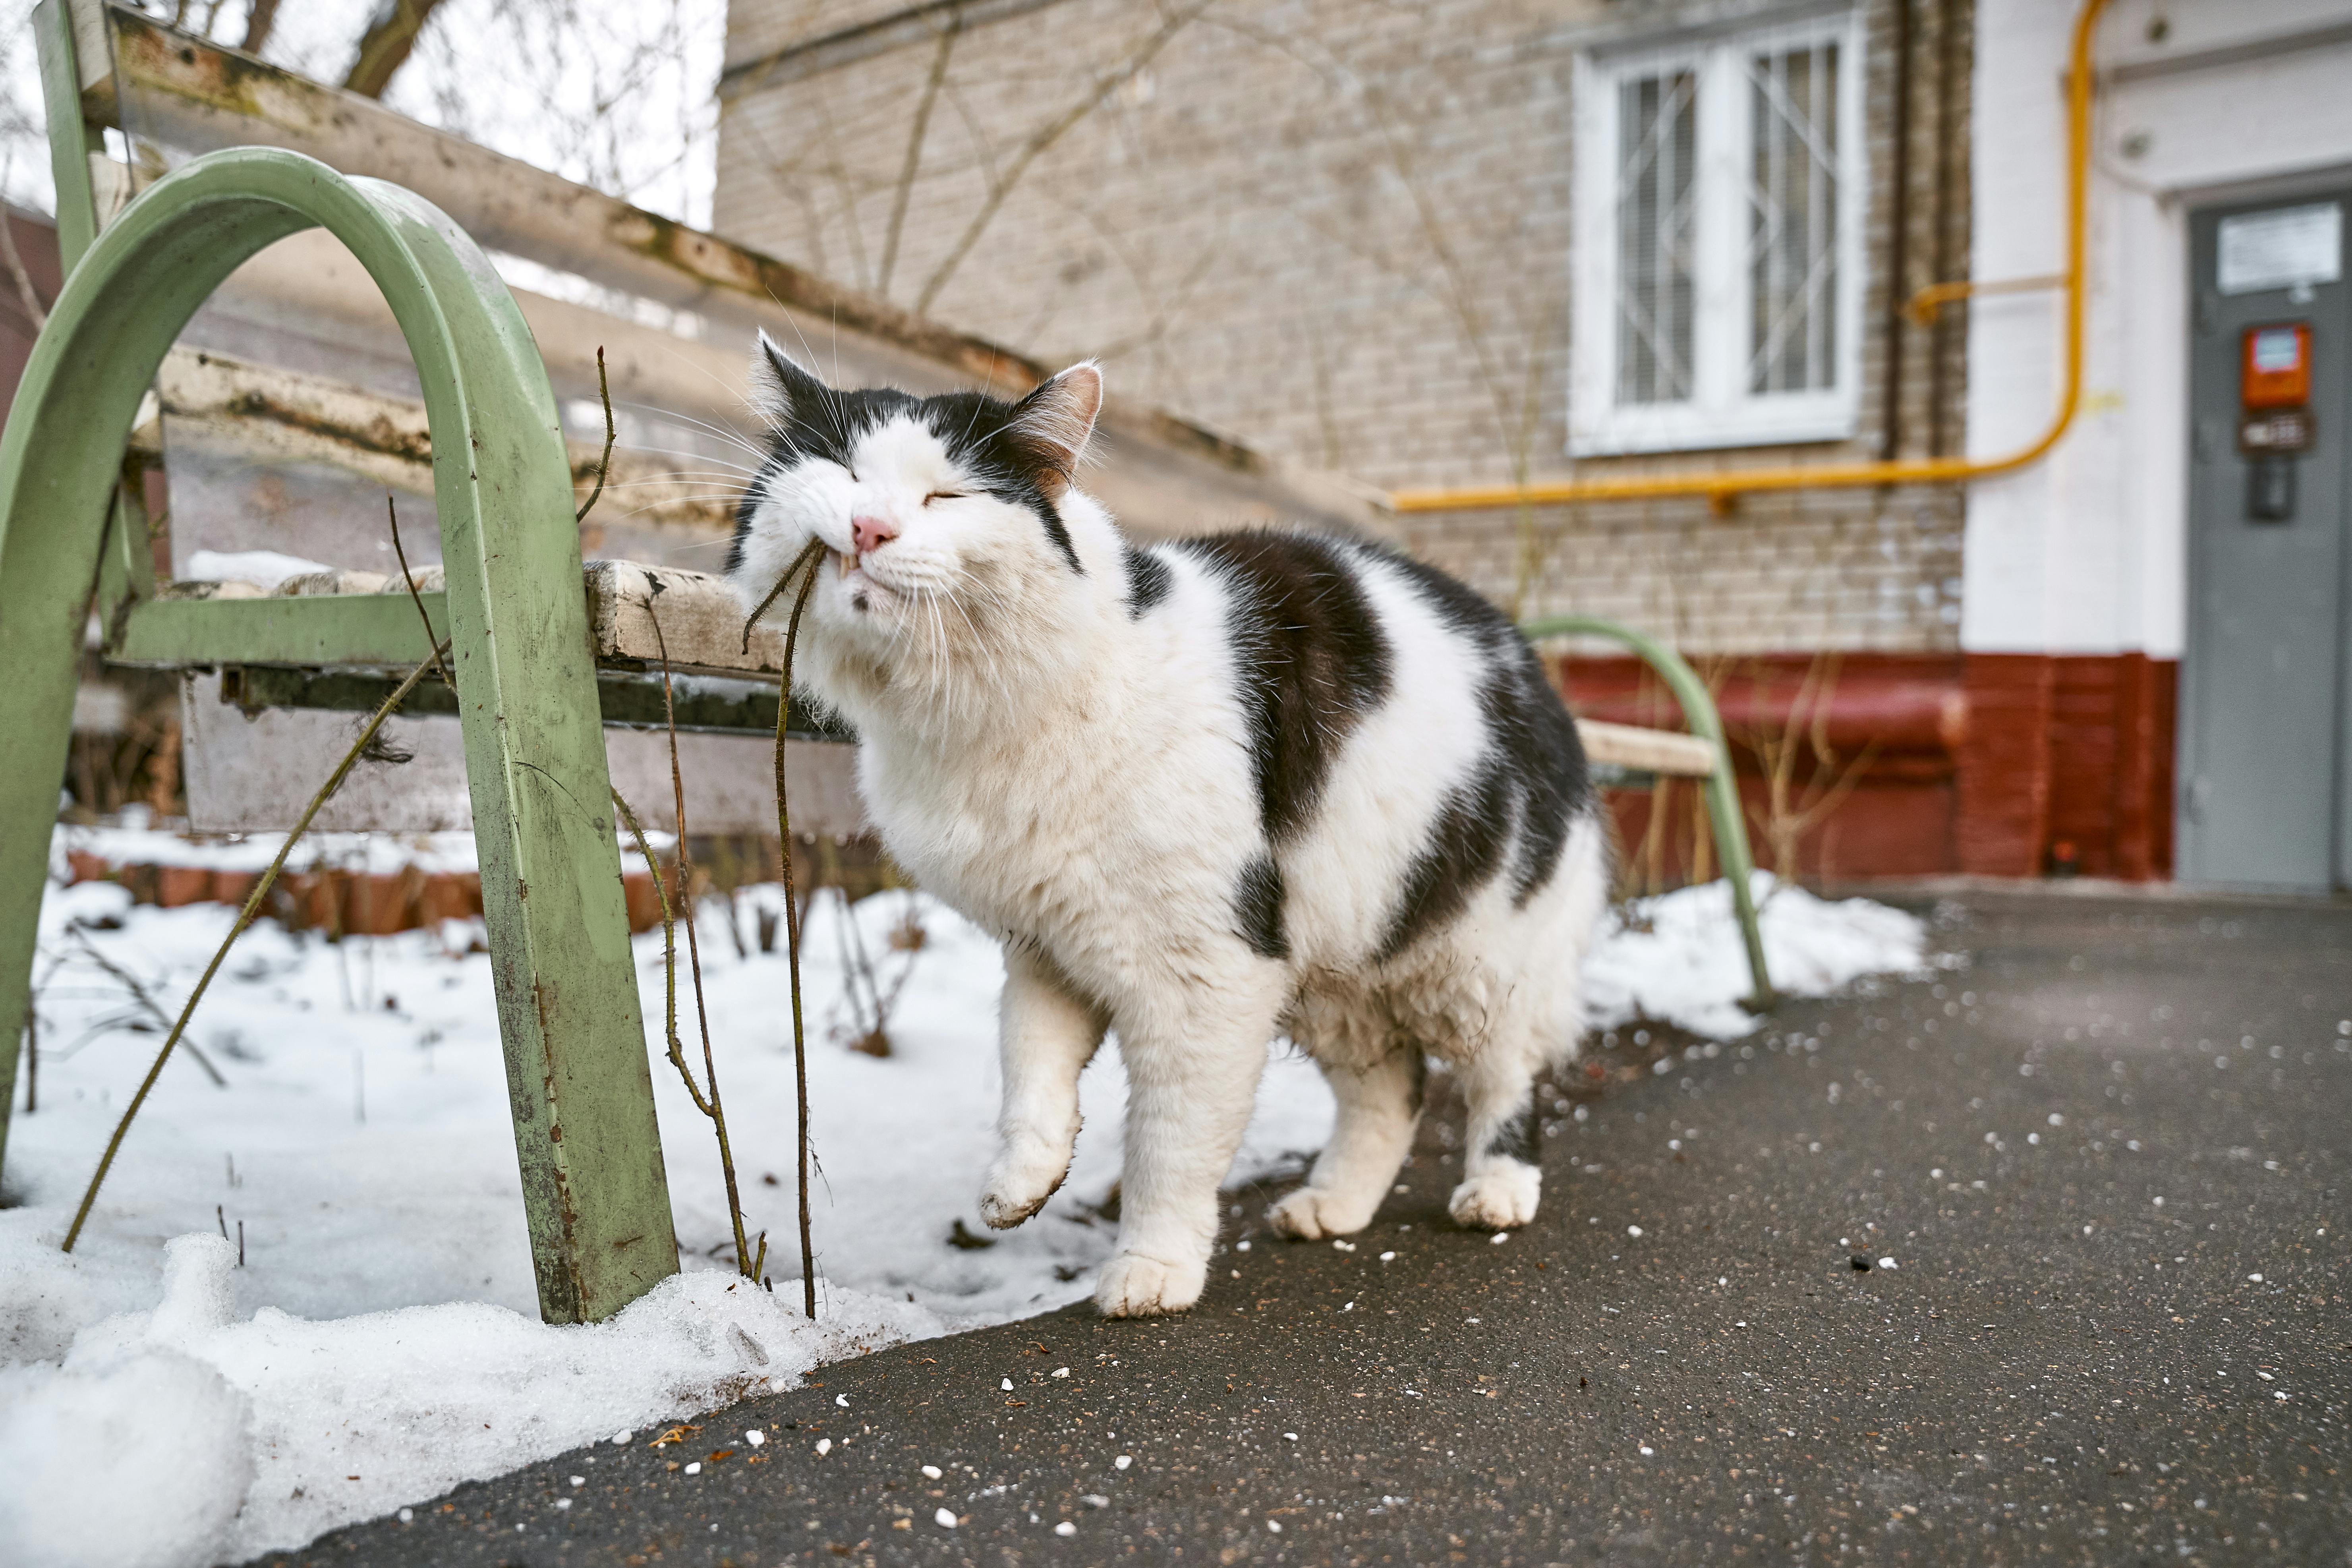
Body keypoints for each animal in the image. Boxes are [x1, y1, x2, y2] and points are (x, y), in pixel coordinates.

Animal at [734, 338, 1608, 1316]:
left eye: (945, 498)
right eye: (842, 472)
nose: (868, 529)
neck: (983, 726)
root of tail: (1529, 653)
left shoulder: (1210, 973)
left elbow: (1169, 1144)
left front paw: (1151, 1269)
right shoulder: (1044, 946)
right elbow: (1029, 1075)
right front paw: (1018, 1186)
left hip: (1474, 961)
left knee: (1507, 1076)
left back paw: (1496, 1190)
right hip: (1337, 975)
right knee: (1393, 1091)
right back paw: (1332, 1204)